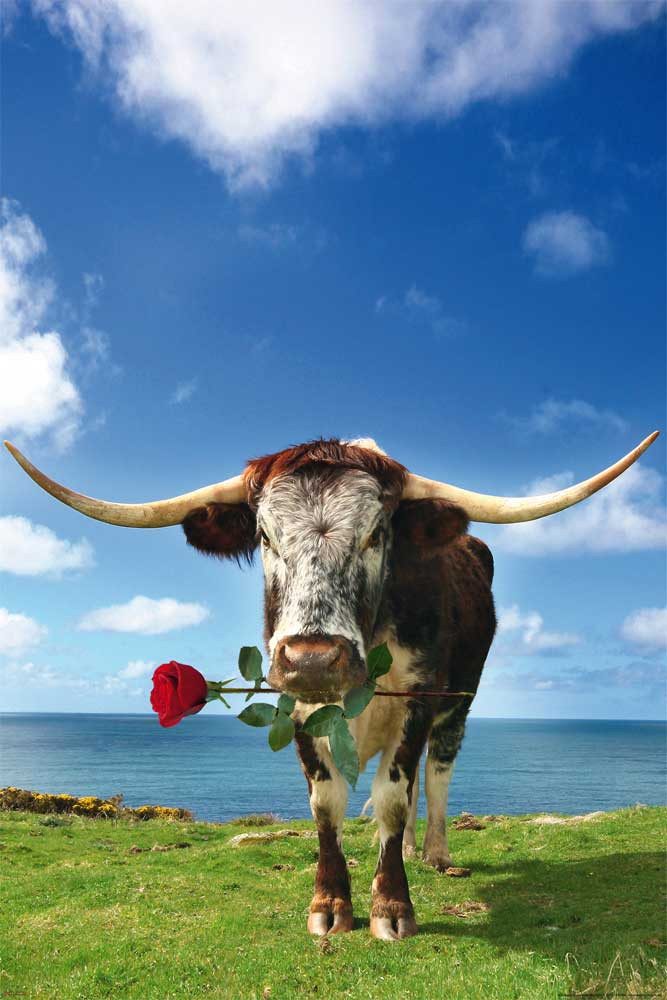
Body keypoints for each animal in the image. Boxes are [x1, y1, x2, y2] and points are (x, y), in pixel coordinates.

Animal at [4, 430, 658, 940]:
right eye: (265, 536)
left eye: (376, 534)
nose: (314, 659)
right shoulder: (295, 705)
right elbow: (327, 803)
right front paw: (331, 903)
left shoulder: (418, 698)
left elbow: (393, 795)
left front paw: (391, 906)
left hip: (459, 702)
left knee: (437, 772)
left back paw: (435, 851)